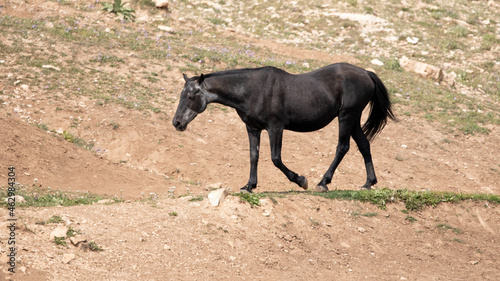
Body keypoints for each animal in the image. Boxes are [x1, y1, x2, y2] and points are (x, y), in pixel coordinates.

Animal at [172, 62, 394, 191]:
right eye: (181, 94)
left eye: (191, 96)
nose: (177, 122)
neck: (252, 90)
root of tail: (366, 73)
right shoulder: (252, 128)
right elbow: (254, 156)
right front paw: (249, 185)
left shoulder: (275, 128)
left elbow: (276, 159)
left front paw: (301, 180)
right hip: (353, 119)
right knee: (364, 145)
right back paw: (368, 183)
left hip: (347, 116)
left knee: (343, 147)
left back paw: (323, 182)